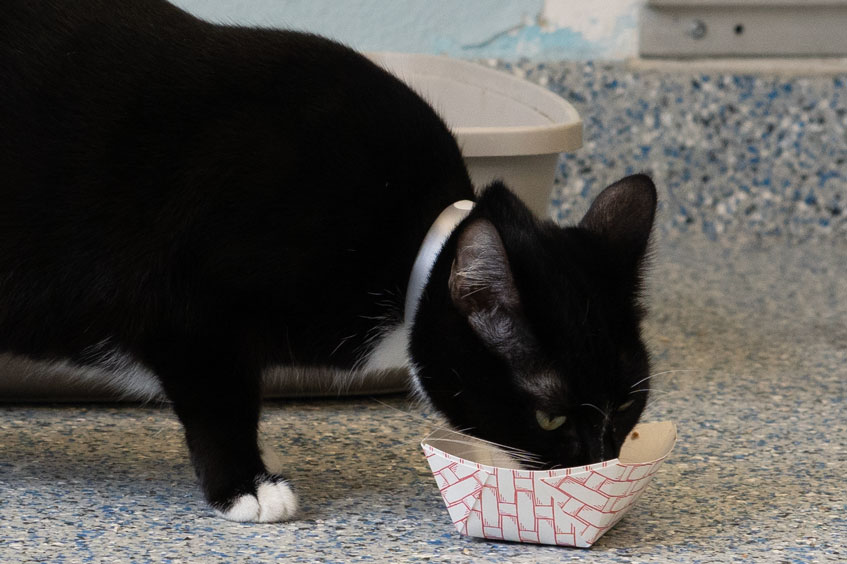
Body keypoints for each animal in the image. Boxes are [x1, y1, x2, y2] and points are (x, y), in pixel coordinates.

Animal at [0, 0, 656, 524]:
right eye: (549, 418)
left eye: (628, 403)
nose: (599, 461)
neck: (406, 244)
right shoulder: (186, 309)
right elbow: (219, 399)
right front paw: (246, 484)